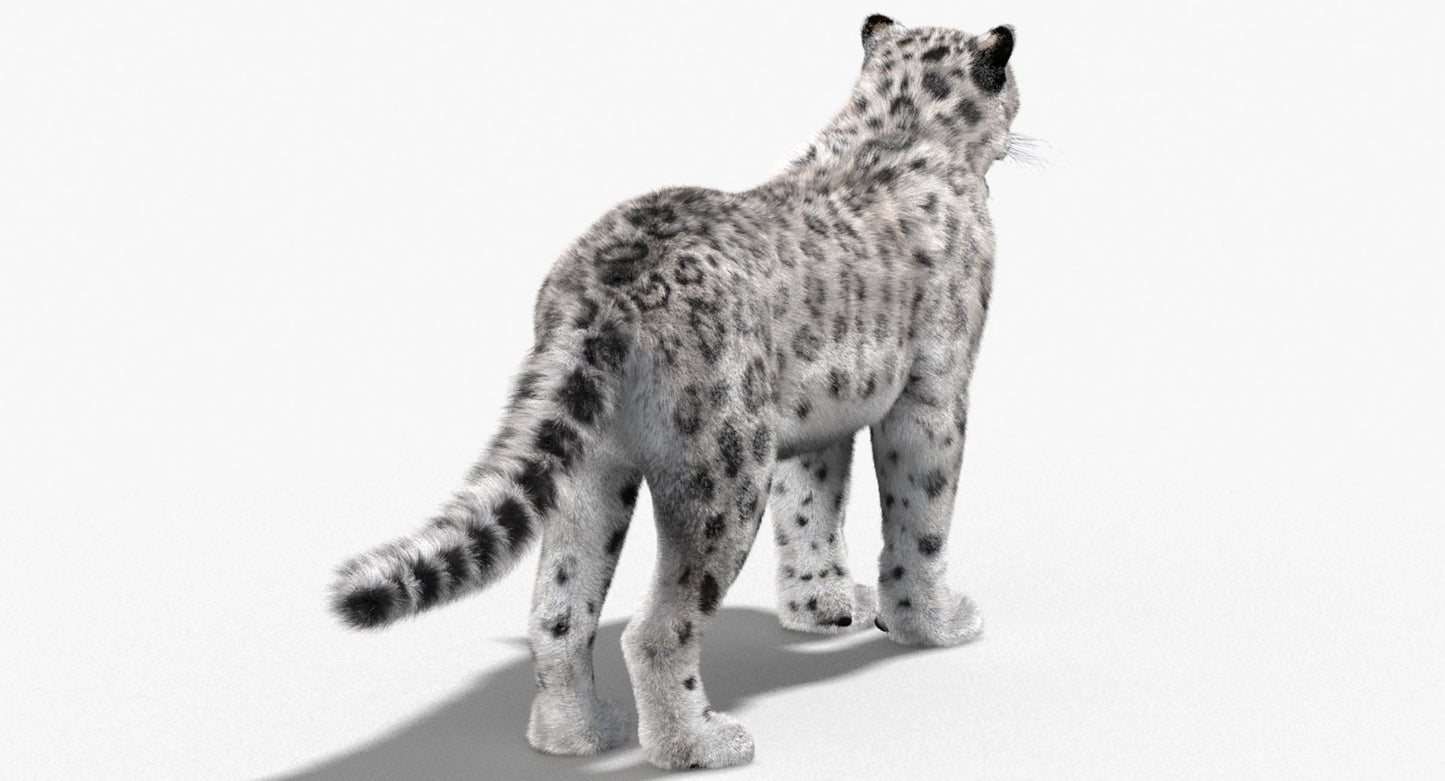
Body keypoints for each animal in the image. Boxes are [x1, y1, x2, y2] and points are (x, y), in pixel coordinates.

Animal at [329, 14, 1020, 770]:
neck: (896, 129)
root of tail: (597, 282)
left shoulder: (818, 418)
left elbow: (812, 506)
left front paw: (825, 606)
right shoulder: (935, 395)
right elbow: (922, 516)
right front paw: (932, 622)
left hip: (591, 473)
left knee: (558, 611)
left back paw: (576, 734)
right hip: (725, 470)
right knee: (658, 628)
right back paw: (698, 743)